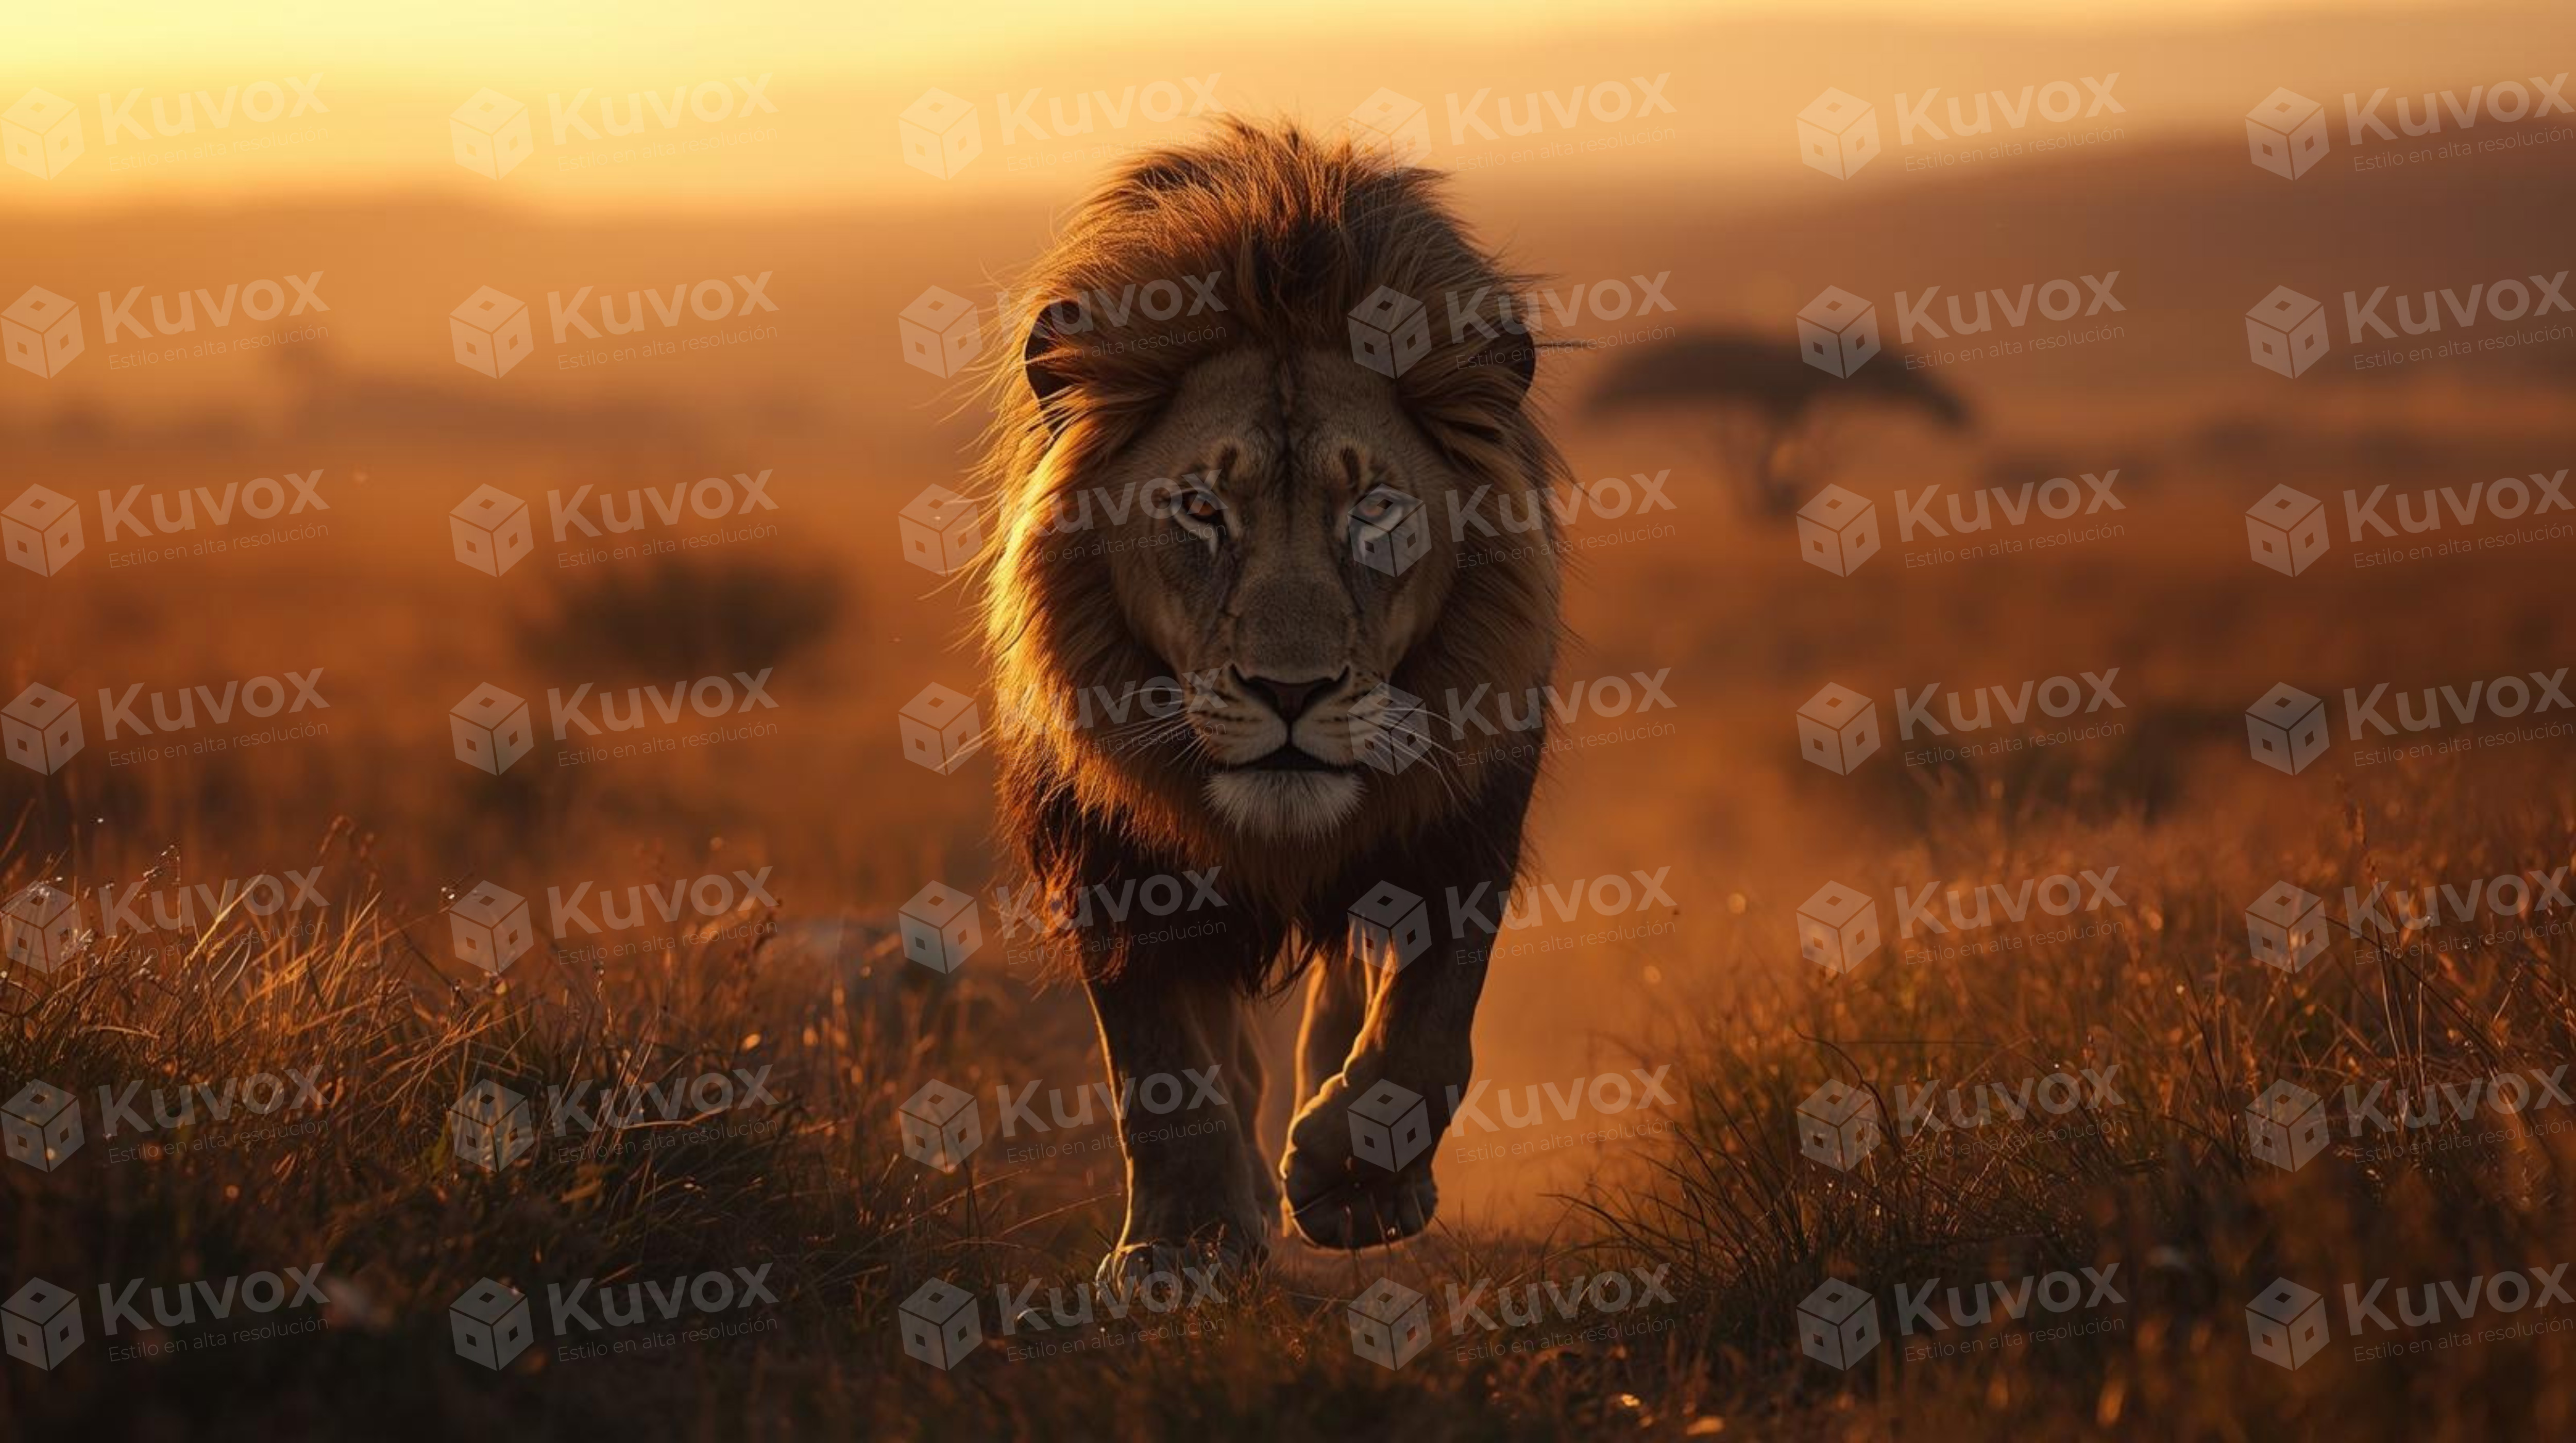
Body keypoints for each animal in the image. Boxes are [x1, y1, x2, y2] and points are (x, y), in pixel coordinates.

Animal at [975, 120, 1567, 1288]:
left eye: (1373, 509)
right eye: (1201, 508)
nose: (1290, 690)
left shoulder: (1466, 820)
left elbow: (1430, 1022)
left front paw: (1358, 1177)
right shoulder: (1111, 857)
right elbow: (1158, 1060)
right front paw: (1182, 1243)